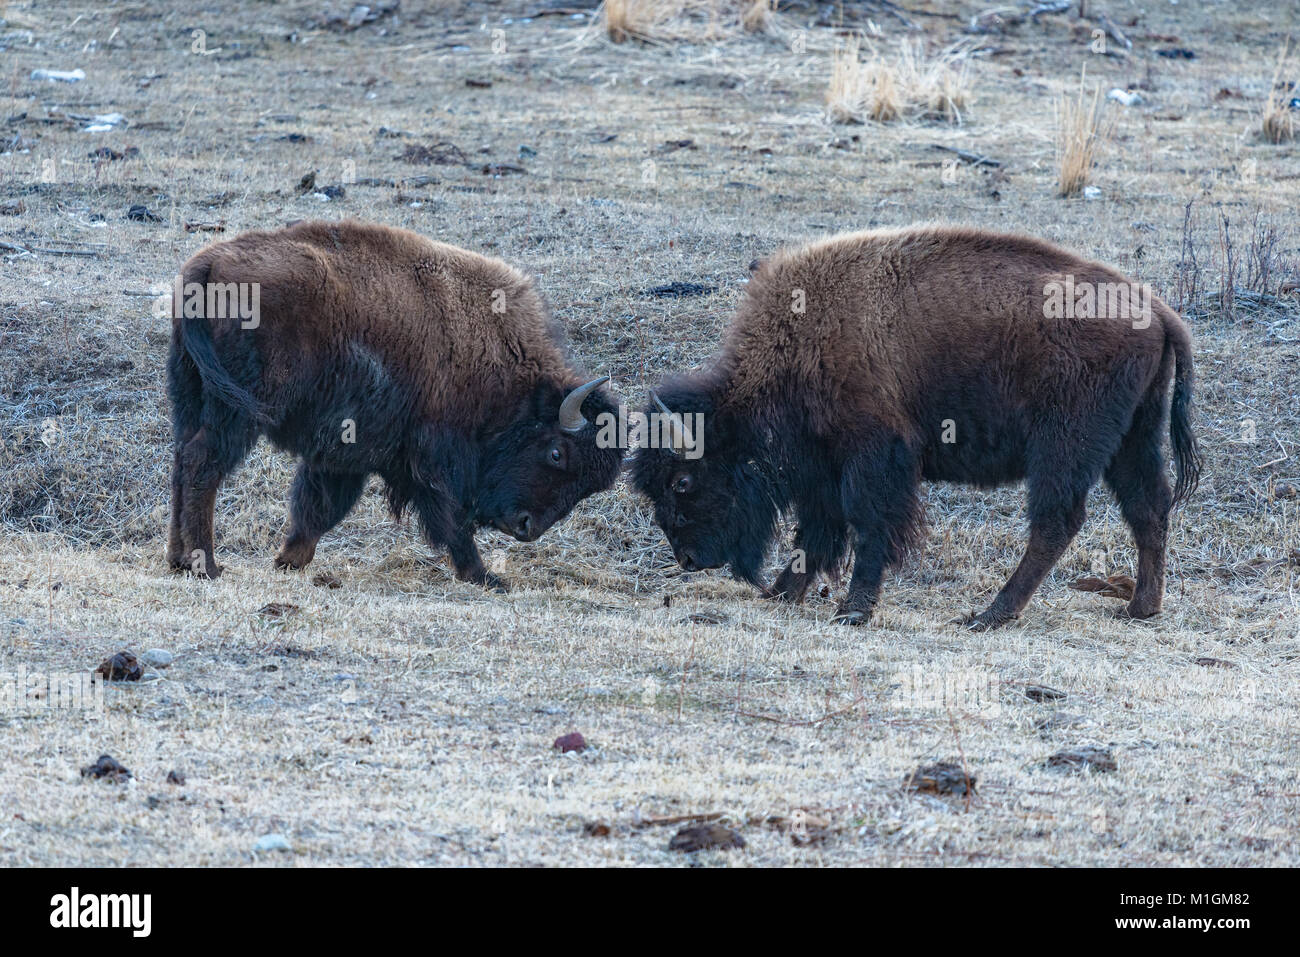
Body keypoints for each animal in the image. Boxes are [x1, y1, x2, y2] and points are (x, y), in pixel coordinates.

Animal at [165, 219, 621, 587]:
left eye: (588, 487)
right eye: (557, 452)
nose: (526, 527)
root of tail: (205, 267)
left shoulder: (343, 454)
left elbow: (320, 507)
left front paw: (289, 561)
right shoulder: (432, 459)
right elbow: (451, 519)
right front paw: (484, 576)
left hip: (190, 396)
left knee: (181, 462)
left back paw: (178, 560)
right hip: (237, 410)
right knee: (203, 464)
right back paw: (207, 566)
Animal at [634, 223, 1201, 629]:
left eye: (683, 480)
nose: (687, 558)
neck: (798, 342)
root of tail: (1158, 311)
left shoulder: (872, 455)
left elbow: (867, 526)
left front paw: (853, 610)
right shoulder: (824, 468)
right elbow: (816, 532)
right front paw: (783, 594)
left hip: (1065, 447)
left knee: (1057, 521)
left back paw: (989, 616)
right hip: (1133, 439)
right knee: (1149, 507)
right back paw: (1140, 608)